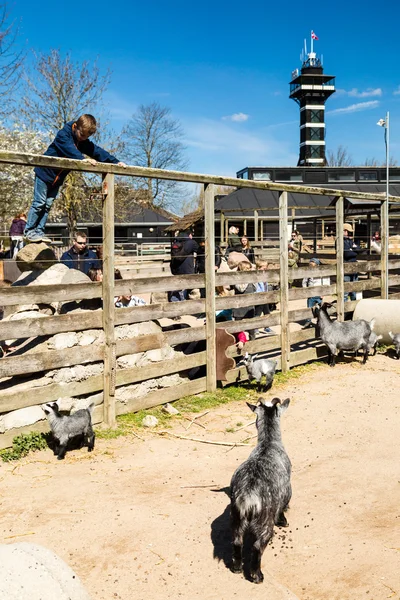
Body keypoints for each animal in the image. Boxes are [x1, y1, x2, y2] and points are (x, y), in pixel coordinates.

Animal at [230, 396, 292, 584]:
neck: (268, 443)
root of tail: (248, 497)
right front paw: (284, 520)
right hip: (265, 522)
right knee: (257, 546)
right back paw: (257, 575)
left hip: (237, 519)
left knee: (237, 541)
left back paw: (237, 567)